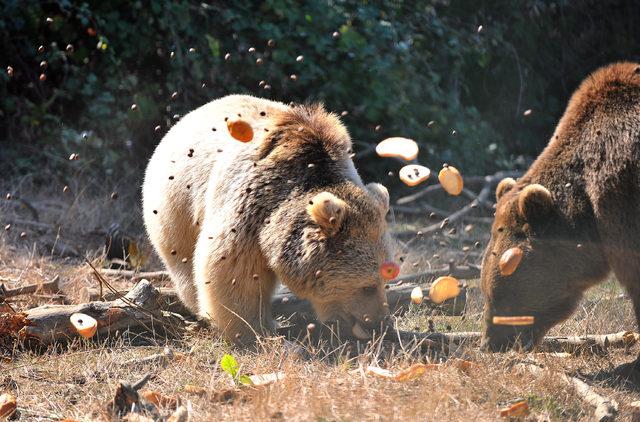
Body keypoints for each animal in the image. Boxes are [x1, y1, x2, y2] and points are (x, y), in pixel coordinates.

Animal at [144, 94, 396, 344]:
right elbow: (232, 270)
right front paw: (251, 330)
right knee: (184, 261)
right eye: (368, 286)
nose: (380, 323)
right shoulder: (249, 209)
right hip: (177, 205)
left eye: (386, 279)